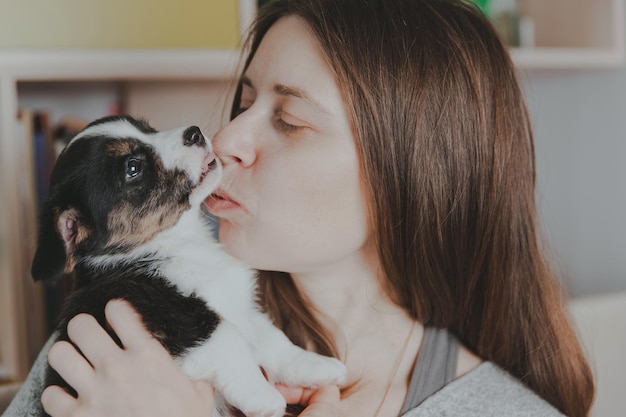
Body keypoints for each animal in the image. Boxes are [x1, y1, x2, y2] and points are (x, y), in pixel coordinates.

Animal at [31, 114, 346, 416]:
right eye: (133, 167)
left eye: (147, 127)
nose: (193, 133)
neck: (178, 241)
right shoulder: (160, 308)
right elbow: (227, 336)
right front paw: (262, 396)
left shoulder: (239, 304)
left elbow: (270, 336)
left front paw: (316, 365)